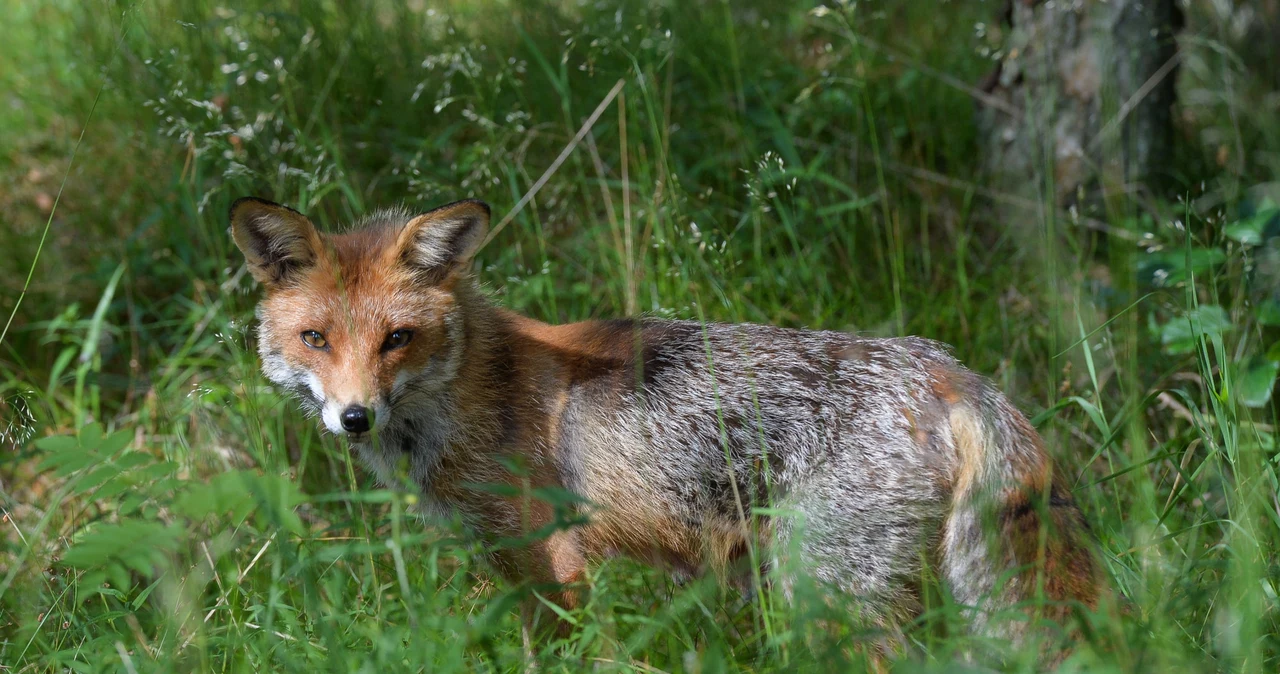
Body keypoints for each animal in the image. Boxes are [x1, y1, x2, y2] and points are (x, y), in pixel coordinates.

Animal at [227, 198, 1100, 652]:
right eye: (316, 339)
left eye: (397, 339)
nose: (354, 417)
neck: (475, 392)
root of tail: (949, 368)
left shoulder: (558, 562)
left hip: (826, 598)